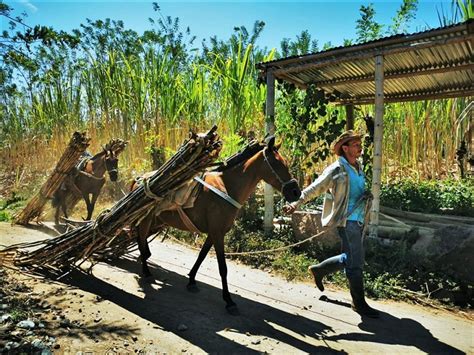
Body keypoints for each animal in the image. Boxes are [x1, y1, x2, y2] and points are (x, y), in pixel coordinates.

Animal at [131, 138, 300, 316]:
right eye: (276, 164)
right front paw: (229, 301)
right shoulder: (218, 233)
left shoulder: (214, 233)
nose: (296, 192)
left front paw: (192, 280)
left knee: (140, 239)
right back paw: (146, 271)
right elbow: (223, 268)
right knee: (141, 240)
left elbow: (201, 256)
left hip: (155, 222)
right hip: (146, 220)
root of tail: (140, 179)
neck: (227, 187)